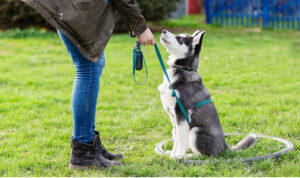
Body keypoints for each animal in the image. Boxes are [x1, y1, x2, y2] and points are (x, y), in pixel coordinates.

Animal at [158, 29, 254, 159]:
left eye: (181, 39)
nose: (163, 30)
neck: (183, 69)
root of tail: (225, 147)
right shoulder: (173, 117)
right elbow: (175, 135)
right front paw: (172, 152)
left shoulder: (182, 113)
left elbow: (181, 138)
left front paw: (178, 155)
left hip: (195, 131)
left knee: (205, 156)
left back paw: (190, 156)